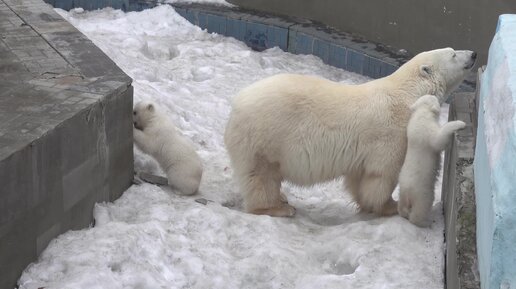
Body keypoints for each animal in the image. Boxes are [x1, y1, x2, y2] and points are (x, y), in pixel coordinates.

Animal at [398, 94, 466, 225]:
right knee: (421, 209)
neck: (422, 113)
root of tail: (408, 192)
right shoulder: (427, 131)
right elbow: (438, 140)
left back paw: (403, 213)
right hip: (422, 193)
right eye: (433, 97)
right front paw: (459, 123)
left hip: (402, 192)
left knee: (402, 206)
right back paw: (423, 222)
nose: (435, 95)